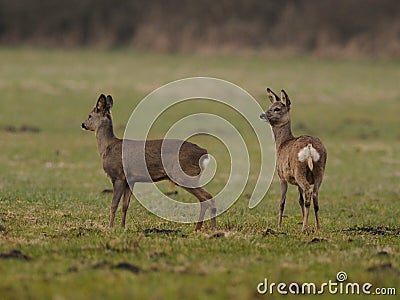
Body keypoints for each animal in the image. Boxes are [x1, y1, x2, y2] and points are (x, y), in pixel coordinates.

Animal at [81, 94, 216, 230]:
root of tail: (204, 153)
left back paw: (206, 228)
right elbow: (125, 205)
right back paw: (202, 228)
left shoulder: (118, 176)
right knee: (206, 199)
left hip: (185, 175)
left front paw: (110, 228)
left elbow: (113, 205)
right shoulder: (130, 180)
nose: (83, 124)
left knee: (208, 198)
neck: (106, 147)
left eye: (90, 115)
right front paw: (123, 227)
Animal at [260, 88, 328, 231]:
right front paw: (302, 219)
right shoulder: (296, 183)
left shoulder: (281, 176)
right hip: (319, 170)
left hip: (299, 170)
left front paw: (279, 225)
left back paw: (304, 228)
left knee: (309, 192)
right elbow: (300, 200)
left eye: (277, 108)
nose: (262, 115)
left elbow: (282, 202)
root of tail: (309, 146)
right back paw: (317, 227)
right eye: (270, 106)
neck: (281, 143)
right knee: (314, 195)